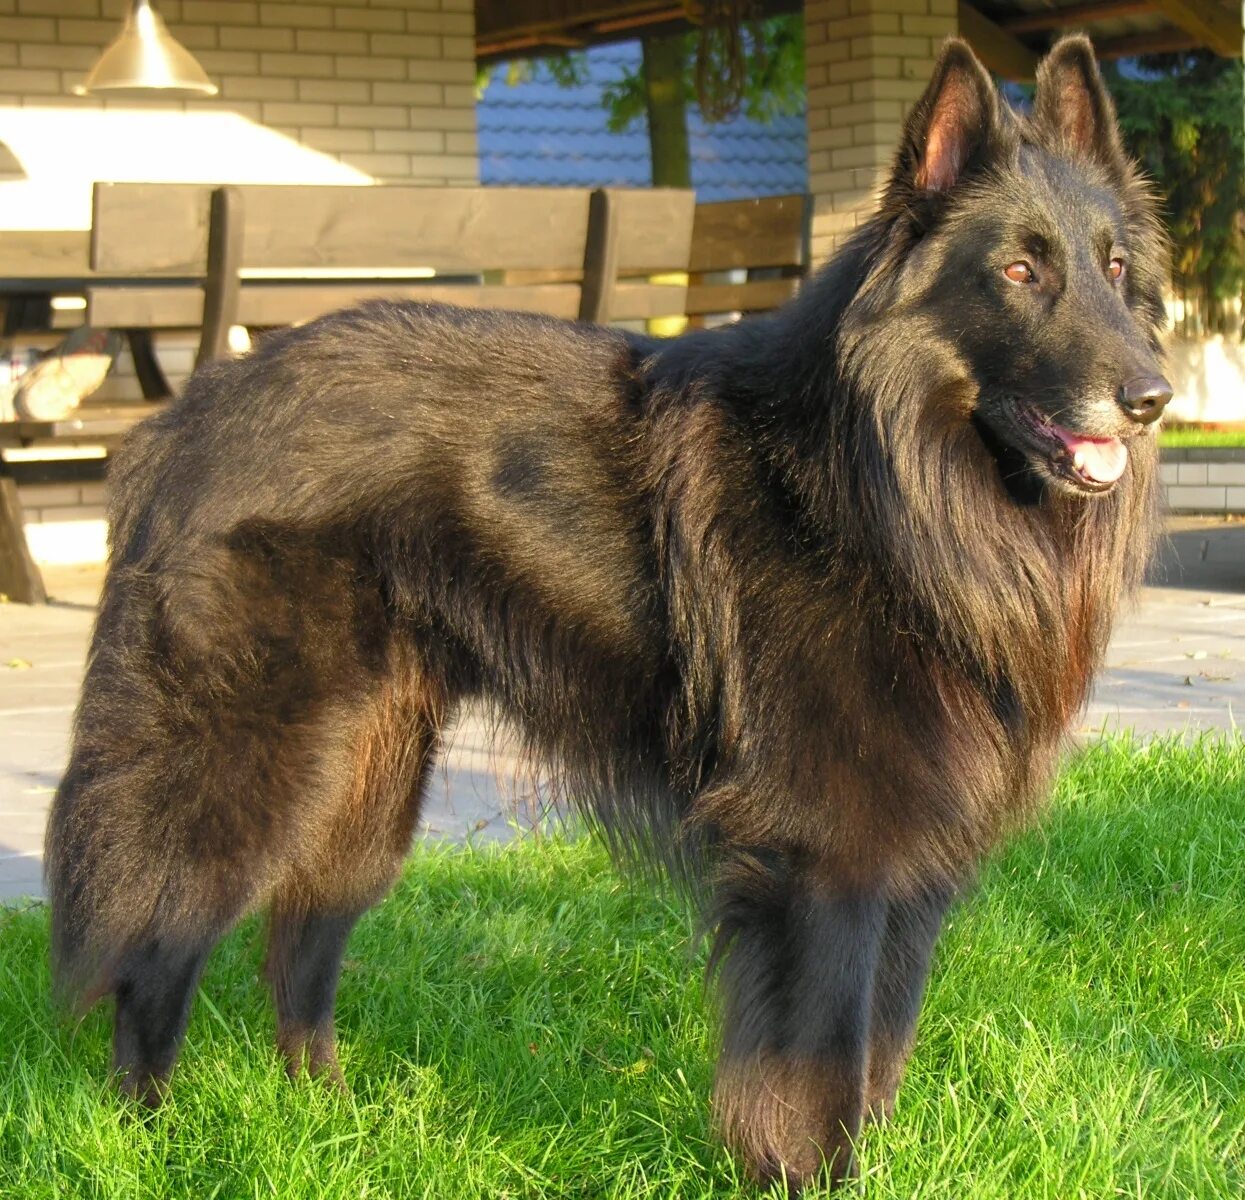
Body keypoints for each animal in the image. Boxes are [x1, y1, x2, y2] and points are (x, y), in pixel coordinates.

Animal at [48, 37, 1170, 1190]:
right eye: (1019, 273)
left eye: (1113, 269)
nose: (1152, 397)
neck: (878, 485)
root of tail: (191, 410)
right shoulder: (828, 858)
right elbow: (819, 1074)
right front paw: (805, 1179)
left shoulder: (909, 864)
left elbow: (878, 1060)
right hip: (245, 762)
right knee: (155, 955)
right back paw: (153, 1141)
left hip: (371, 775)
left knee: (300, 948)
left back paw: (332, 1124)